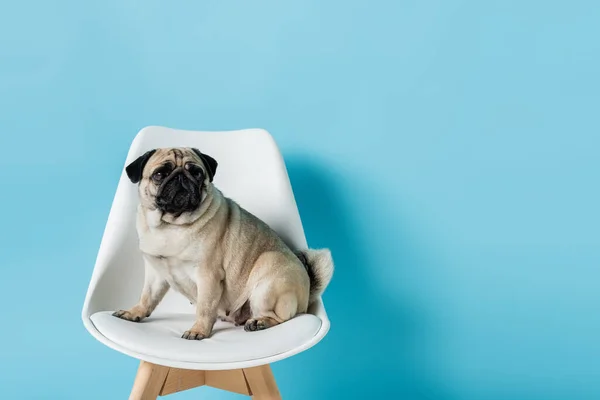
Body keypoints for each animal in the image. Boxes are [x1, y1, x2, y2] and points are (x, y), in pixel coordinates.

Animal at [112, 148, 332, 340]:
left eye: (196, 172)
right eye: (160, 174)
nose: (181, 177)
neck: (170, 225)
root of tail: (307, 293)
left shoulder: (207, 276)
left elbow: (204, 307)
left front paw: (198, 331)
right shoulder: (156, 274)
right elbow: (147, 297)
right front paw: (134, 312)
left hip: (268, 277)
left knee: (281, 317)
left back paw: (259, 322)